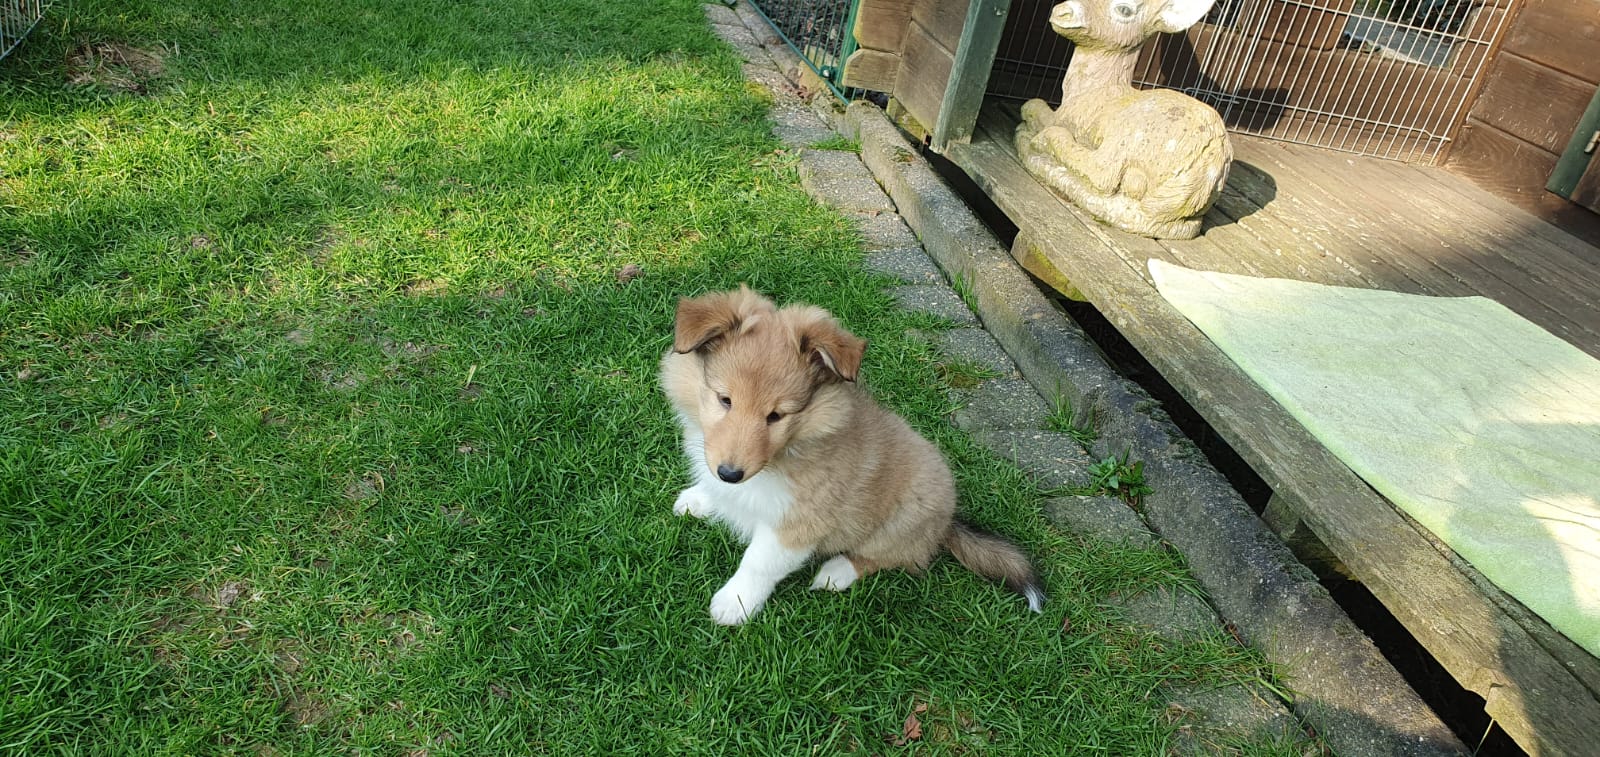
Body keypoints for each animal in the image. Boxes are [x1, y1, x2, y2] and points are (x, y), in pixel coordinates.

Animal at [659, 287, 1045, 625]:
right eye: (724, 399)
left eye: (777, 416)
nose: (730, 473)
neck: (792, 446)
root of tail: (947, 523)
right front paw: (701, 499)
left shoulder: (800, 521)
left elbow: (759, 562)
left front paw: (734, 604)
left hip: (903, 518)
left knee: (894, 557)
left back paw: (835, 573)